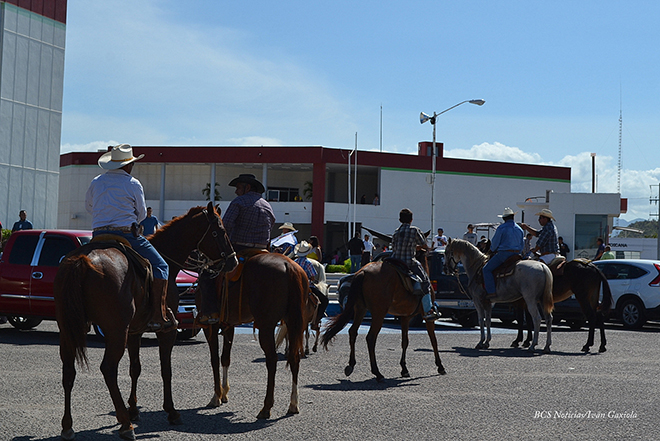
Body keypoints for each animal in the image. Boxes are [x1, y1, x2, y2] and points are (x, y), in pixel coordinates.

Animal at [54, 203, 236, 440]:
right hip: (115, 331)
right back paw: (125, 425)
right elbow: (166, 369)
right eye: (220, 231)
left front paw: (133, 409)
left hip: (68, 328)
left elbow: (135, 368)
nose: (233, 261)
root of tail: (82, 260)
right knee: (108, 369)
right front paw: (171, 411)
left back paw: (68, 425)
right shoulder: (167, 331)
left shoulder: (134, 331)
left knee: (68, 370)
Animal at [197, 251, 308, 420]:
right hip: (293, 322)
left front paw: (216, 396)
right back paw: (293, 404)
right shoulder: (229, 326)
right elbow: (225, 358)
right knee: (294, 358)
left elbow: (214, 359)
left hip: (266, 326)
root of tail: (288, 265)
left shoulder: (210, 327)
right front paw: (224, 393)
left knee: (272, 360)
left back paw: (266, 407)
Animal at [318, 253, 444, 384]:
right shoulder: (427, 316)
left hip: (360, 309)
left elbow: (405, 341)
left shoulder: (405, 317)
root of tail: (363, 272)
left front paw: (404, 369)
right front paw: (440, 366)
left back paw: (351, 365)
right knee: (371, 338)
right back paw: (377, 373)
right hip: (379, 312)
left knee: (353, 332)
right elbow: (433, 340)